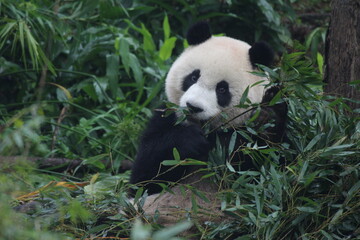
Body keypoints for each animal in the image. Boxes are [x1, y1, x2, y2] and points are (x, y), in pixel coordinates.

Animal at [129, 21, 286, 224]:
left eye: (222, 89)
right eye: (193, 77)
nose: (193, 107)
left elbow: (270, 171)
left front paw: (269, 115)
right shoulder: (166, 118)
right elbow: (145, 178)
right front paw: (190, 141)